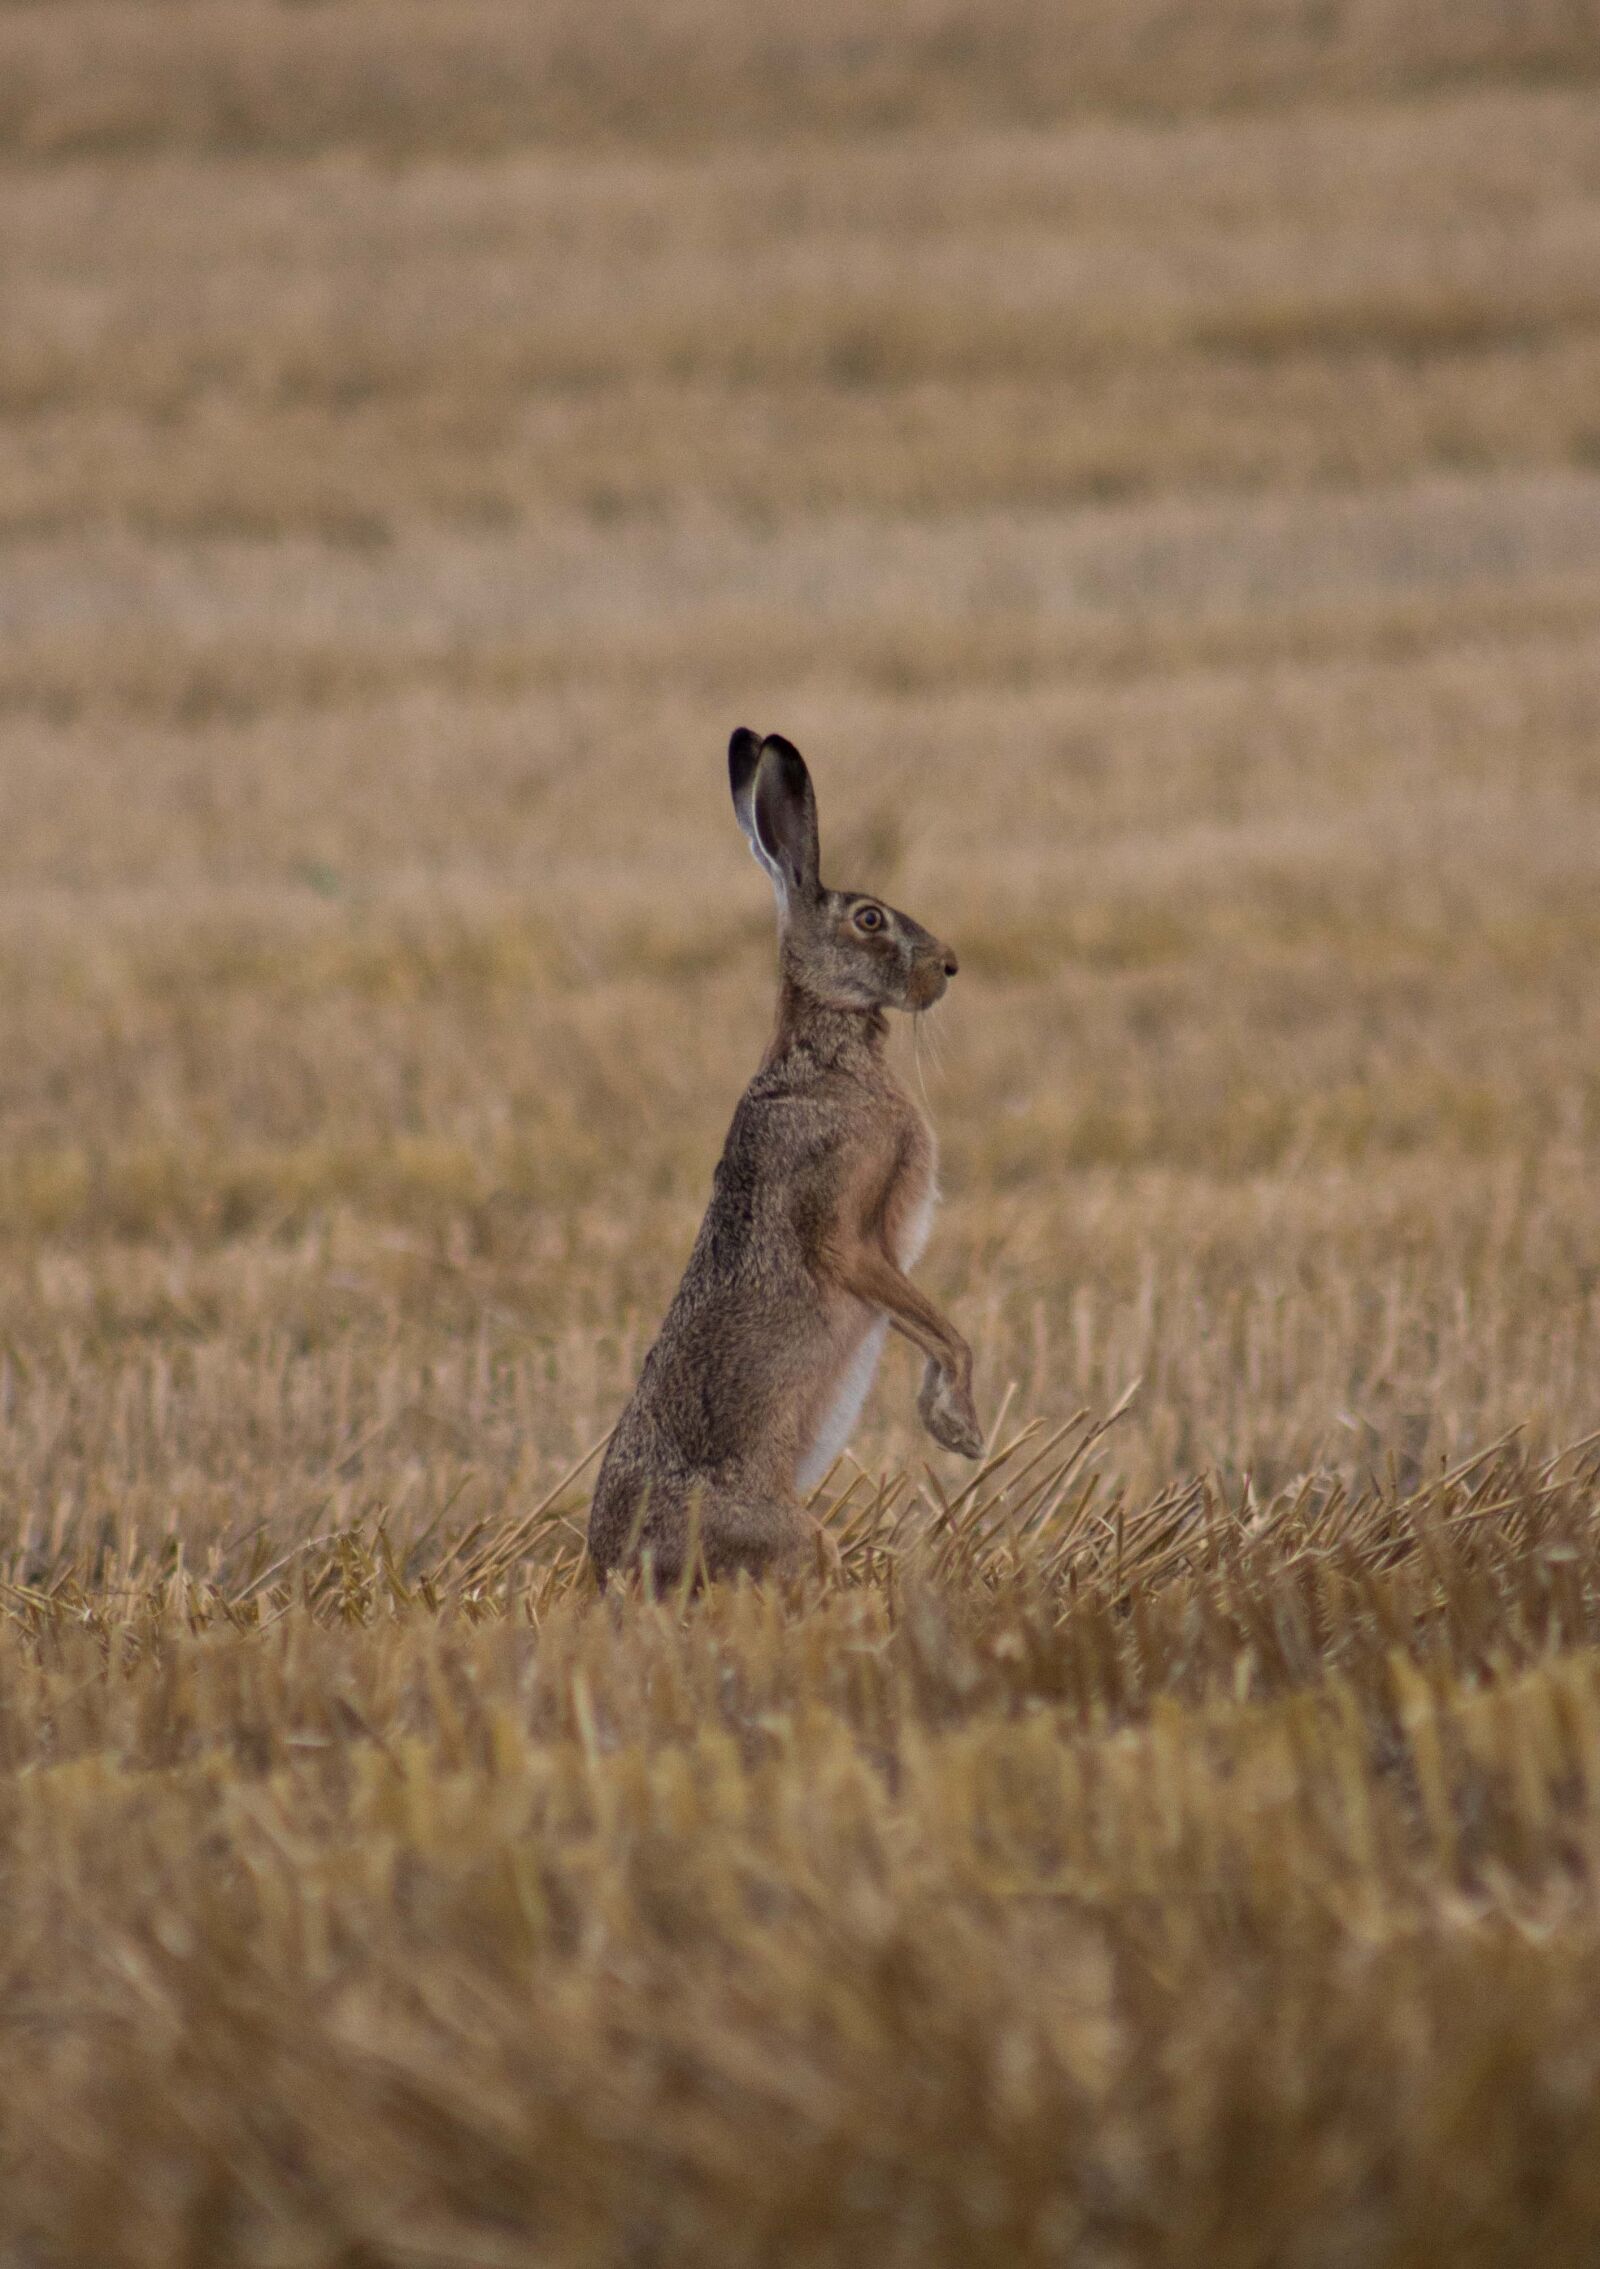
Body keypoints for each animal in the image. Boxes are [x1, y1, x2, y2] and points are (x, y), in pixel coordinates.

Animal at [587, 729, 983, 1589]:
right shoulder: (850, 1234)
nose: (948, 965)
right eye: (869, 918)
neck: (826, 1050)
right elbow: (940, 1327)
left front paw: (945, 1422)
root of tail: (614, 1570)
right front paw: (962, 1430)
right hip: (794, 1535)